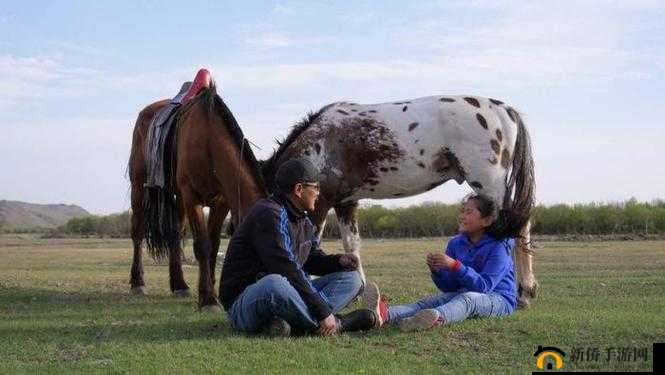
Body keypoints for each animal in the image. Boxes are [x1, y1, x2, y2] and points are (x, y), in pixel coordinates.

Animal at [127, 85, 264, 312]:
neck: (208, 141)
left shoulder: (221, 202)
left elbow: (214, 244)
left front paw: (211, 292)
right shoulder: (192, 197)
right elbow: (203, 245)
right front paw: (208, 299)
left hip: (178, 197)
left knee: (175, 234)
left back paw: (179, 285)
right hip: (139, 186)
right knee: (138, 232)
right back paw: (138, 282)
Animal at [262, 95, 536, 310]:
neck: (320, 142)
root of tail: (505, 110)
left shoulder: (320, 204)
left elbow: (312, 242)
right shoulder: (346, 204)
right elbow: (352, 245)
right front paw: (359, 290)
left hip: (489, 186)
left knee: (514, 230)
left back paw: (523, 293)